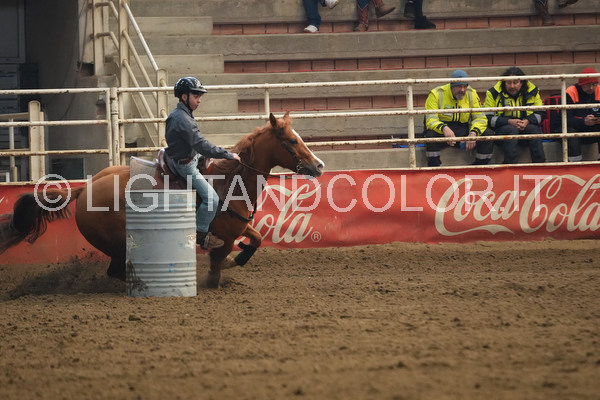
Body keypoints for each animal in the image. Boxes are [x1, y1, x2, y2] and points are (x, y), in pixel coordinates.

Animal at [0, 112, 324, 288]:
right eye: (292, 141)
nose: (319, 165)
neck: (229, 182)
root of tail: (83, 190)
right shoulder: (223, 237)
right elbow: (217, 266)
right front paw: (221, 272)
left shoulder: (240, 227)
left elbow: (255, 240)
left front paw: (239, 259)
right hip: (119, 243)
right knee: (117, 270)